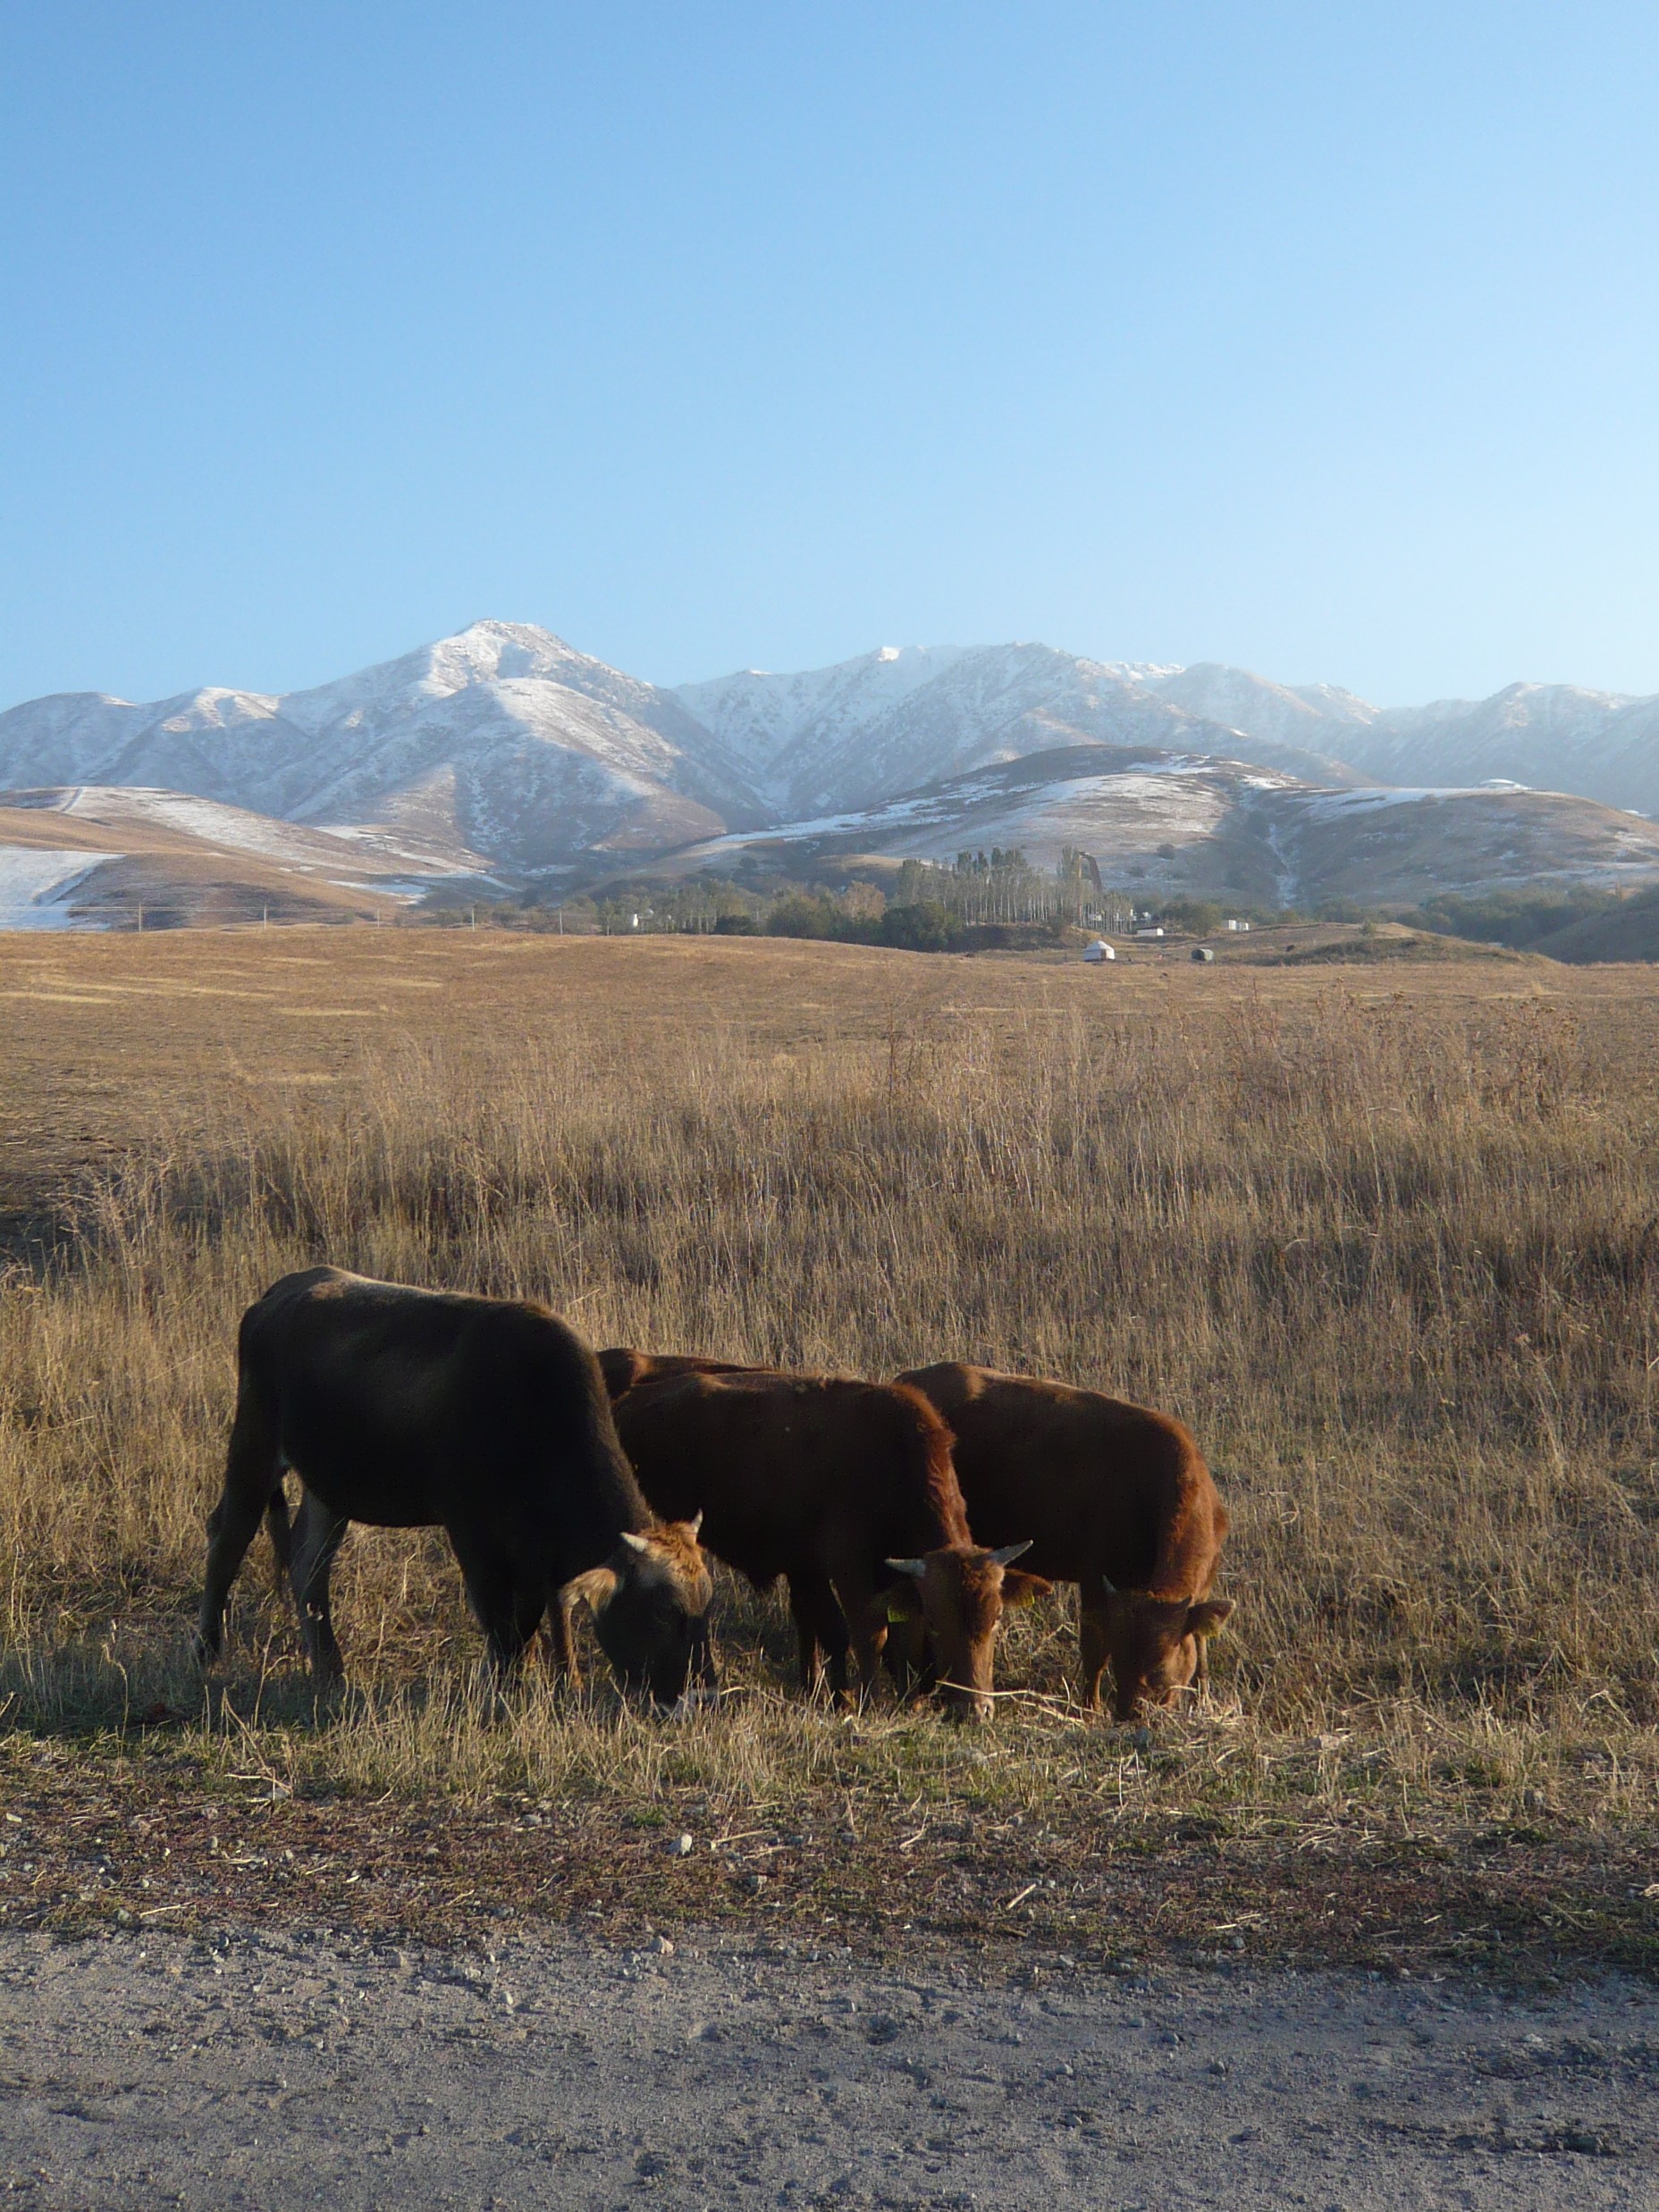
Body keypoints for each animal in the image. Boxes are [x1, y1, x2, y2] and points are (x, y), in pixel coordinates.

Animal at [193, 1268, 715, 1707]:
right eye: (663, 1613)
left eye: (705, 1607)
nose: (700, 1695)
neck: (536, 1411)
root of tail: (281, 1292)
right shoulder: (472, 1533)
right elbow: (503, 1622)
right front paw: (504, 1688)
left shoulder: (538, 1554)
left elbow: (536, 1614)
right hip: (254, 1448)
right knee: (227, 1540)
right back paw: (206, 1654)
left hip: (329, 1490)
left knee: (308, 1566)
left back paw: (330, 1671)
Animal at [610, 1367, 1045, 1721]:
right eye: (938, 1623)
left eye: (996, 1618)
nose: (975, 1710)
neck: (891, 1456)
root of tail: (625, 1402)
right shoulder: (847, 1566)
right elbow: (865, 1633)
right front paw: (860, 1698)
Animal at [894, 1364, 1231, 1722]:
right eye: (1122, 1658)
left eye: (1160, 1662)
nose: (1129, 1713)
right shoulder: (1096, 1578)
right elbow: (1095, 1649)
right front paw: (1091, 1709)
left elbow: (1202, 1647)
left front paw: (1204, 1700)